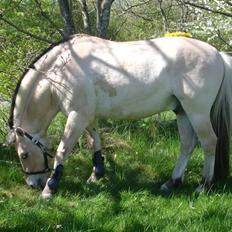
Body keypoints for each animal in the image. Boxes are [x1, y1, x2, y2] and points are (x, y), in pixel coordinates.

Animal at [5, 35, 232, 198]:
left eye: (23, 155)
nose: (33, 184)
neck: (62, 71)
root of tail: (218, 54)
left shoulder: (77, 116)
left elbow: (62, 150)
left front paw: (50, 189)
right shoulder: (88, 116)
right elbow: (94, 142)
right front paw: (96, 175)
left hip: (197, 112)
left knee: (209, 142)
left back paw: (204, 185)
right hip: (182, 111)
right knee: (187, 144)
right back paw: (172, 182)